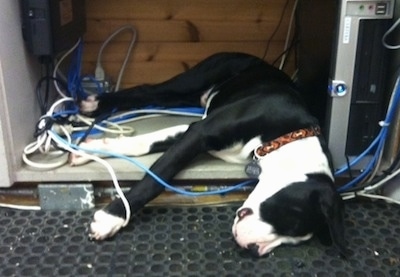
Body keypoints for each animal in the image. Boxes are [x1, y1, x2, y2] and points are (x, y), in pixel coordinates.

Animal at [73, 51, 348, 256]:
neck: (290, 136)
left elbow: (143, 144)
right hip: (196, 77)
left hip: (186, 98)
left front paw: (89, 149)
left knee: (154, 96)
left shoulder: (193, 130)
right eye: (290, 220)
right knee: (146, 90)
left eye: (294, 240)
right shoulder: (201, 132)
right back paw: (94, 104)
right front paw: (112, 217)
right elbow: (156, 178)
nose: (253, 250)